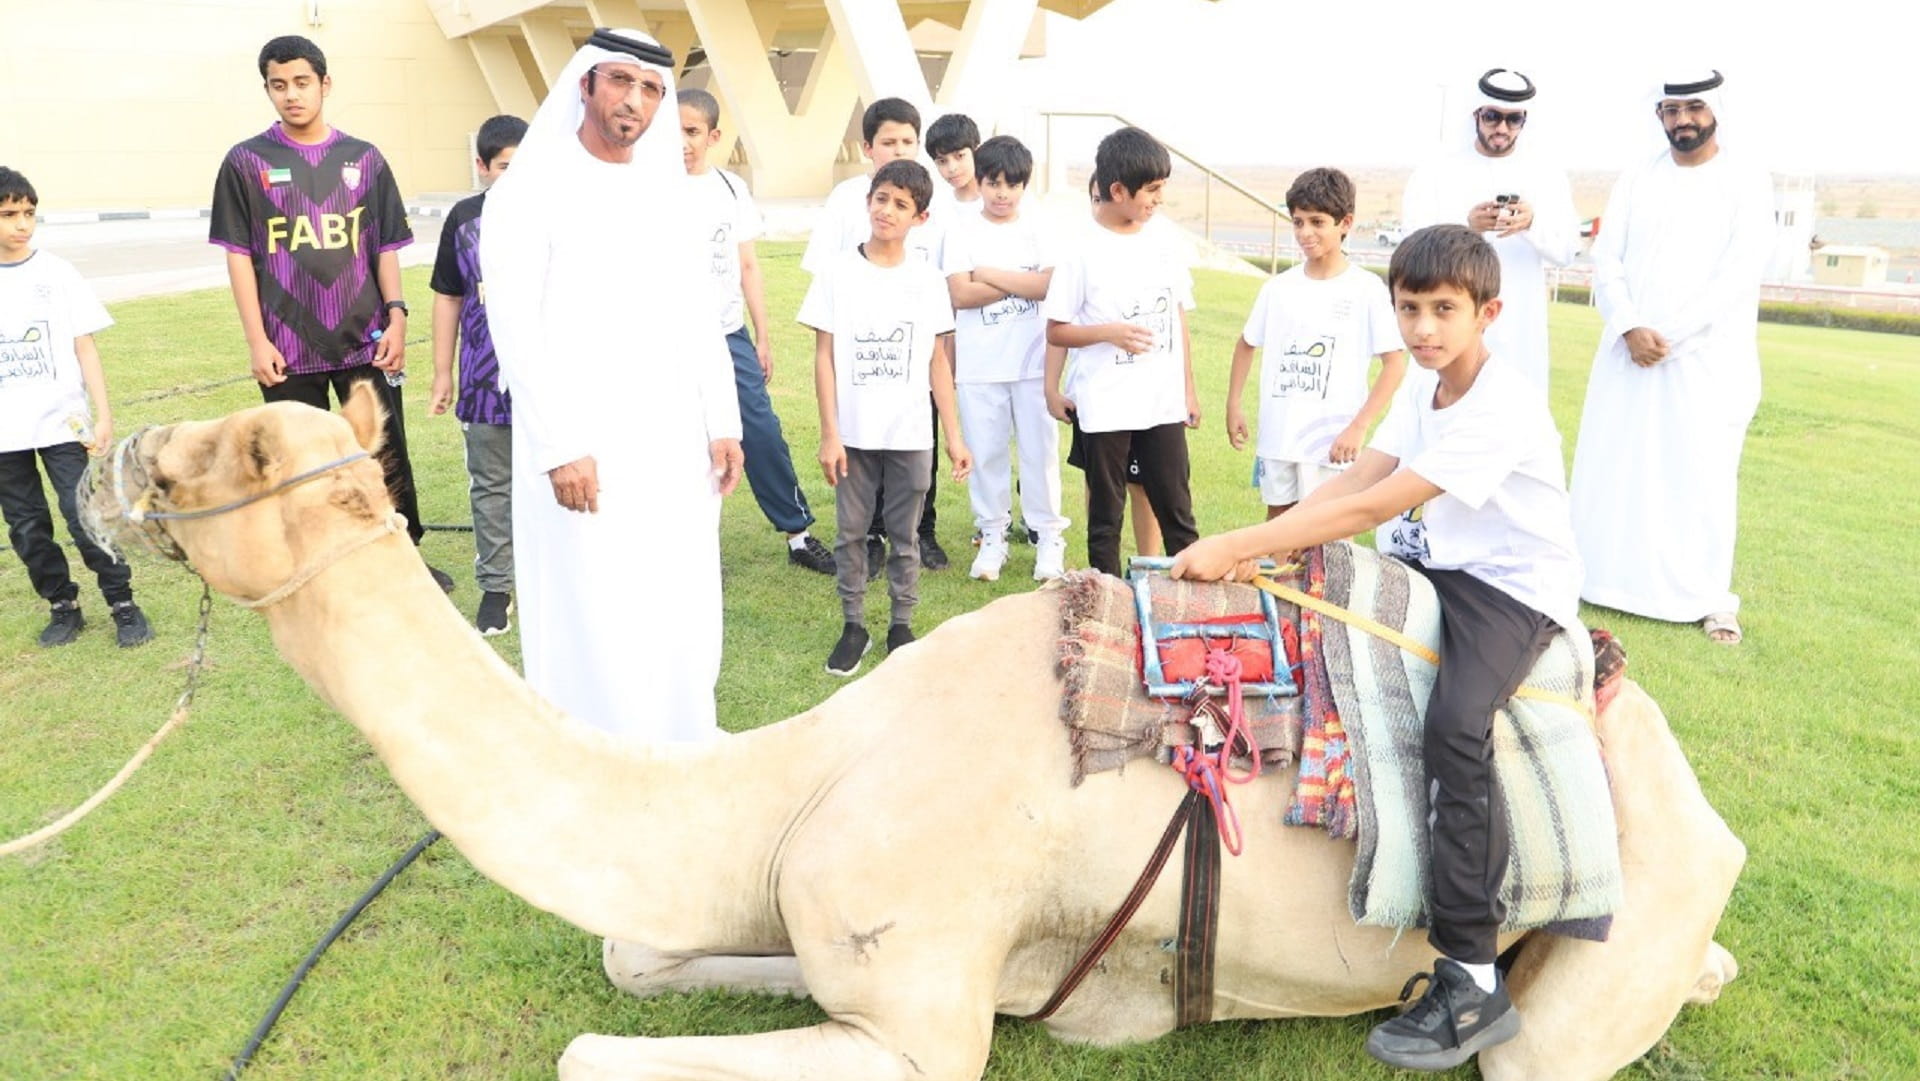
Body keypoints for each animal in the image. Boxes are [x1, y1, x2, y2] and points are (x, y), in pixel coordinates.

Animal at [86, 384, 1743, 1075]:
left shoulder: (924, 1023)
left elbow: (583, 1047)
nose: (118, 458)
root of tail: (1698, 807)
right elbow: (635, 958)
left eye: (223, 459)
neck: (801, 773)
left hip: (1598, 956)